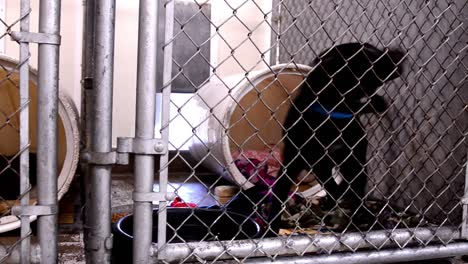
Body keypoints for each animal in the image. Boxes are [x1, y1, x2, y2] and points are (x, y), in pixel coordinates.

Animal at [266, 42, 406, 232]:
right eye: (368, 57)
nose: (400, 53)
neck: (335, 114)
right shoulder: (313, 161)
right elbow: (330, 185)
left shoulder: (354, 159)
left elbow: (352, 185)